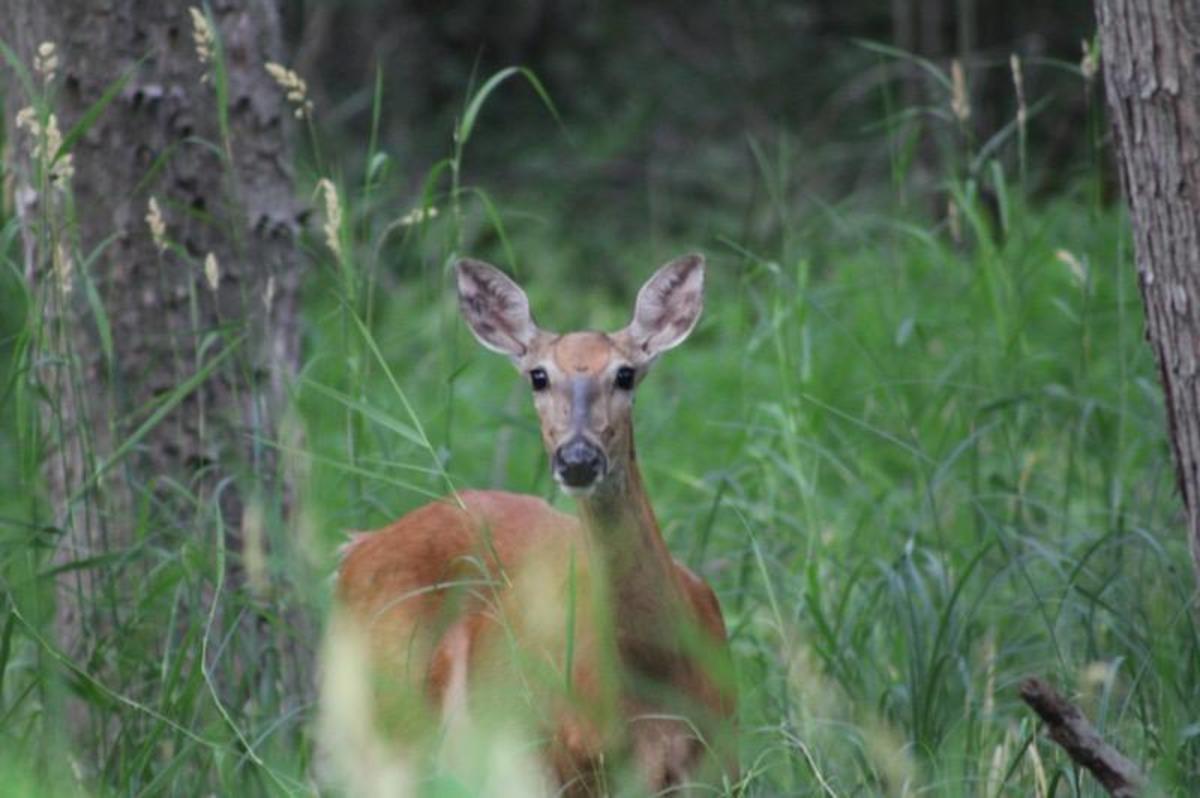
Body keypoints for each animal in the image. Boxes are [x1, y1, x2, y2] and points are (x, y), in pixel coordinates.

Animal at [333, 256, 734, 796]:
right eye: (537, 376)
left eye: (626, 374)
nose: (578, 458)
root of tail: (358, 546)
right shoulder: (572, 758)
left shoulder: (722, 754)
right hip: (382, 723)